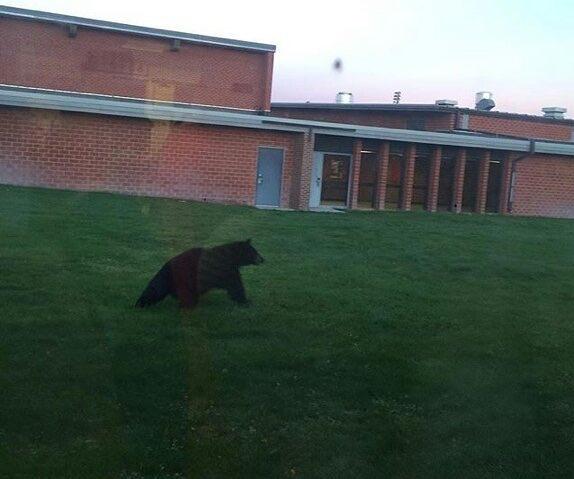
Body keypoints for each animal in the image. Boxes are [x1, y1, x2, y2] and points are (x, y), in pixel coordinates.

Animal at [135, 240, 266, 312]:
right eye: (254, 251)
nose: (262, 259)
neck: (231, 258)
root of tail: (166, 265)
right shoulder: (225, 270)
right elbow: (235, 285)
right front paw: (246, 301)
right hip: (184, 277)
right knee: (158, 289)